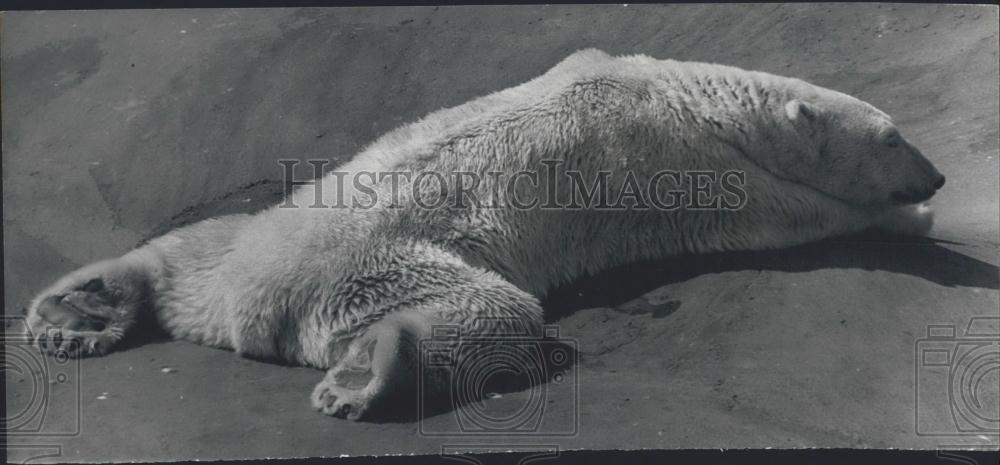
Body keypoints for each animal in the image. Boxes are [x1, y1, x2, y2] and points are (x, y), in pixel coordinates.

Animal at [23, 48, 944, 420]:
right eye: (895, 137)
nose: (935, 175)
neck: (684, 94)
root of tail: (255, 307)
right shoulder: (683, 166)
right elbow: (786, 217)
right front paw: (911, 216)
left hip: (249, 245)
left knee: (187, 250)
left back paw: (78, 309)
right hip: (386, 261)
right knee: (491, 312)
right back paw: (373, 375)